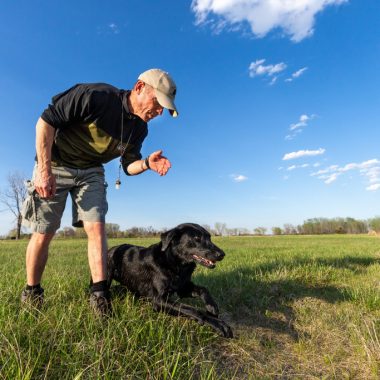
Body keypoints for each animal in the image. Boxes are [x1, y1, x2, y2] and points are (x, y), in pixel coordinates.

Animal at [105, 223, 233, 338]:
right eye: (197, 238)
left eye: (209, 237)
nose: (222, 254)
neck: (176, 263)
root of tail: (110, 250)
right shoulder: (159, 300)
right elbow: (192, 310)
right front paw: (218, 324)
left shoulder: (183, 288)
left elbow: (203, 289)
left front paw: (212, 307)